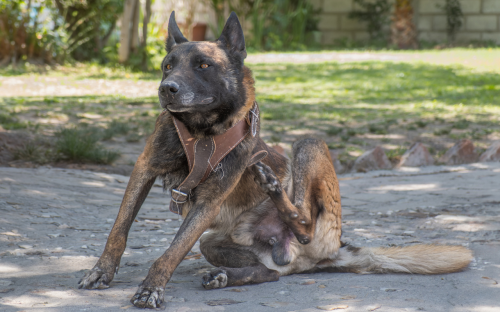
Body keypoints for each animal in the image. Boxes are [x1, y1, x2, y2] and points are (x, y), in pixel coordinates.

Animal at [77, 11, 472, 308]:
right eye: (167, 66)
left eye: (203, 65)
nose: (166, 89)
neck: (202, 132)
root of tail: (332, 251)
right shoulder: (144, 170)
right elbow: (119, 229)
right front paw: (102, 271)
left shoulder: (208, 200)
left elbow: (172, 250)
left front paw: (152, 287)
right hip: (214, 243)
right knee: (269, 273)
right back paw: (227, 275)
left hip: (309, 148)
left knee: (306, 222)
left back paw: (277, 194)